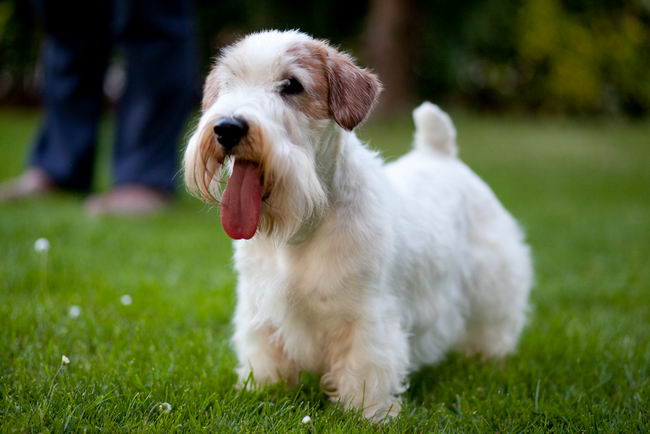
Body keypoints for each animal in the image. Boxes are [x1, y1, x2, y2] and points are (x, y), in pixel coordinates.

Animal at [184, 30, 532, 420]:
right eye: (228, 83)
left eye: (292, 85)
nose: (227, 128)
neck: (304, 228)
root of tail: (441, 155)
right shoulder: (260, 311)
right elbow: (266, 357)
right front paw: (263, 392)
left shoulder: (368, 317)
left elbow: (365, 366)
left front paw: (365, 412)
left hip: (493, 285)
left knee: (495, 326)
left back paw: (489, 361)